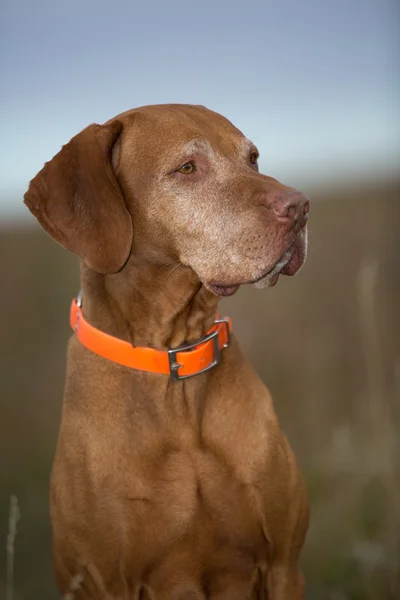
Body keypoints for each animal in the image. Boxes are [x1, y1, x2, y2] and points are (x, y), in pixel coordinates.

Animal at [24, 105, 310, 596]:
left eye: (253, 158)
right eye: (187, 168)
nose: (301, 208)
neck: (174, 357)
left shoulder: (283, 565)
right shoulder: (109, 584)